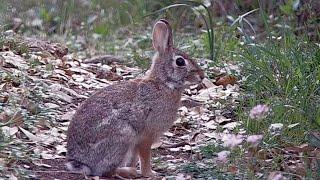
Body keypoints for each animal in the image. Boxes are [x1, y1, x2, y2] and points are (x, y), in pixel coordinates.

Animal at [66, 19, 205, 177]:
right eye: (180, 62)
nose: (202, 76)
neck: (163, 83)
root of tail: (82, 163)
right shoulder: (146, 136)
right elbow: (145, 156)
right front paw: (151, 174)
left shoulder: (137, 142)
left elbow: (134, 157)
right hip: (123, 135)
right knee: (107, 171)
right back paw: (129, 172)